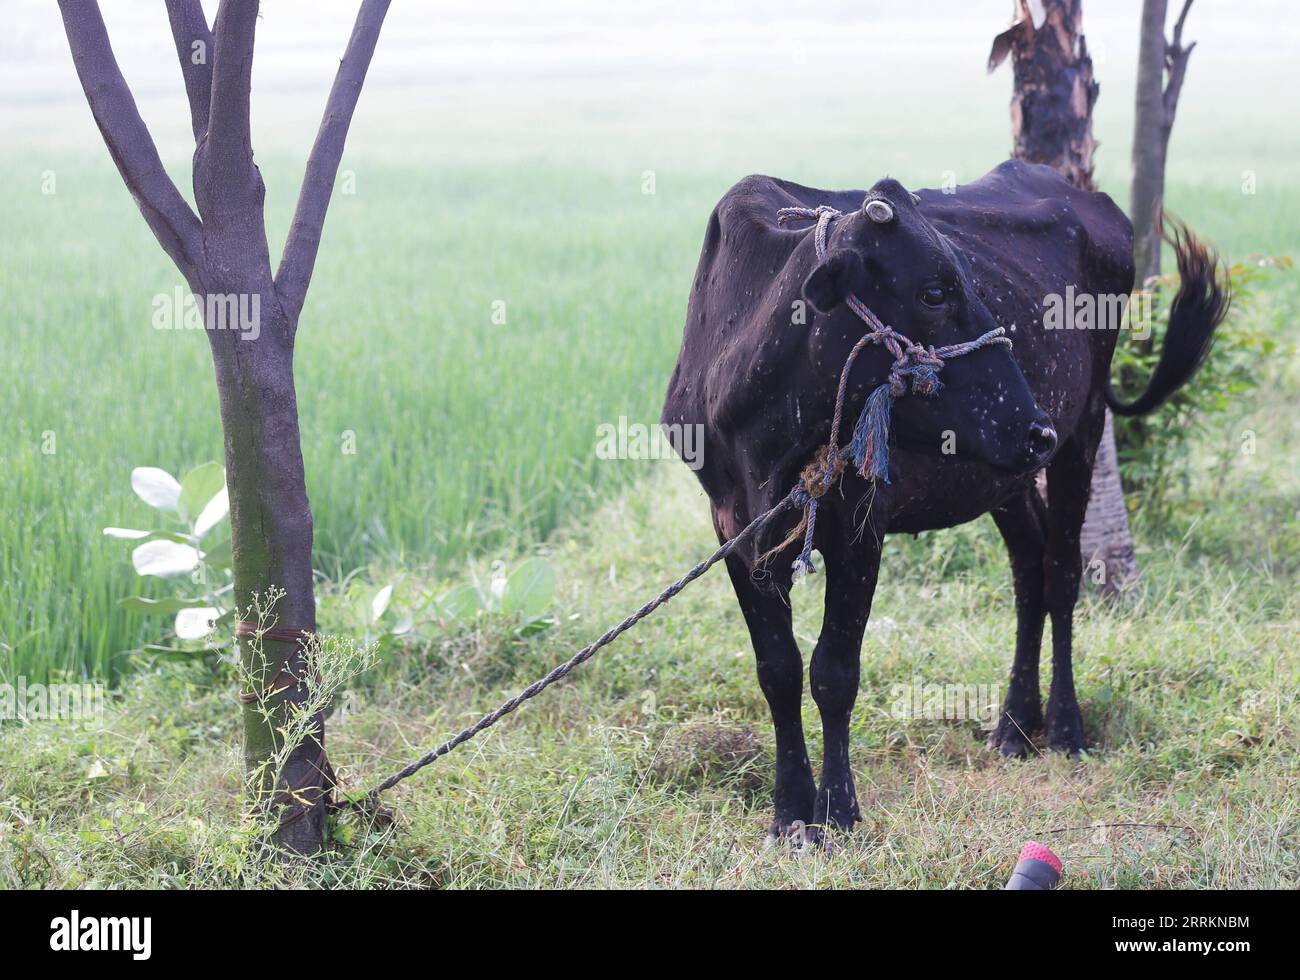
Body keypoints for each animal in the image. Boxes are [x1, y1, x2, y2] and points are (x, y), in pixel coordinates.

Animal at [665, 156, 1222, 837]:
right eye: (934, 291)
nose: (1035, 427)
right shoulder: (736, 529)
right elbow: (779, 669)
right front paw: (790, 811)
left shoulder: (862, 522)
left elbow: (834, 671)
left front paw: (839, 813)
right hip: (1005, 476)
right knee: (1030, 572)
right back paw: (1014, 726)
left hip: (1082, 431)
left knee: (1062, 571)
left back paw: (1064, 728)